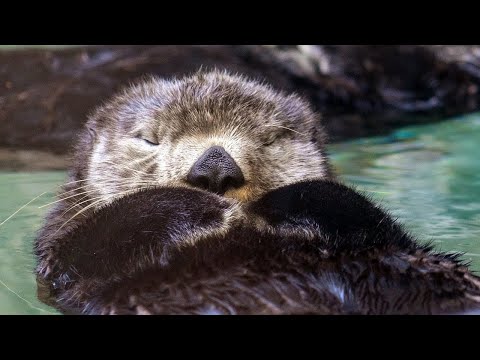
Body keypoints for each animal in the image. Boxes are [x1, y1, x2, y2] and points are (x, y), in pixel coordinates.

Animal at [35, 69, 480, 312]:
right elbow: (79, 250)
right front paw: (196, 207)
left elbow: (378, 225)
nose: (215, 167)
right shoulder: (60, 266)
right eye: (148, 139)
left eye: (269, 139)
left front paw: (279, 203)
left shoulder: (398, 248)